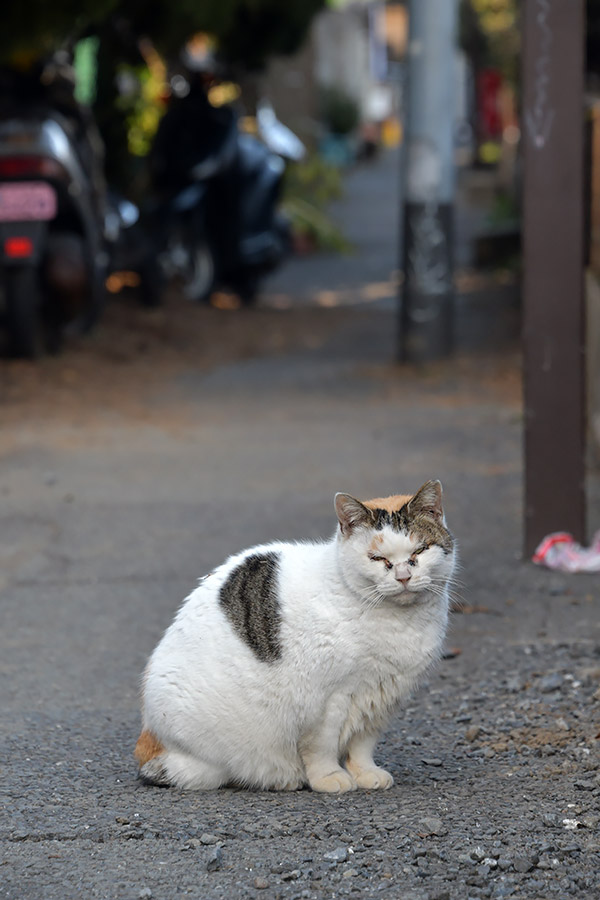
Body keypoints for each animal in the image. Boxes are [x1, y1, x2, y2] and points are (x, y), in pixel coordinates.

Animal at [136, 482, 454, 792]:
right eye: (377, 558)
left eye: (420, 551)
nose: (403, 577)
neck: (399, 622)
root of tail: (148, 740)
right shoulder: (326, 700)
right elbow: (322, 745)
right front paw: (329, 778)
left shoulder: (380, 697)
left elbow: (362, 745)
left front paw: (366, 773)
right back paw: (281, 778)